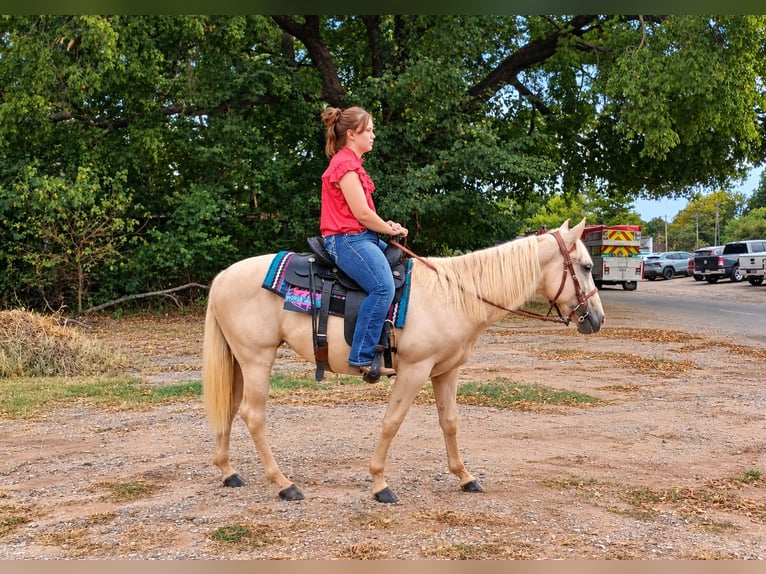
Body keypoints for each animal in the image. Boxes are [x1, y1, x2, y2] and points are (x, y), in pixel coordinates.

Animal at [202, 218, 604, 503]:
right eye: (585, 267)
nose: (597, 319)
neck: (454, 296)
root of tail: (222, 277)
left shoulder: (446, 371)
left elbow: (450, 423)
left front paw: (465, 477)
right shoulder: (414, 370)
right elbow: (391, 423)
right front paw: (380, 484)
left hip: (240, 361)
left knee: (230, 406)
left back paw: (228, 472)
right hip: (257, 358)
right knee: (253, 415)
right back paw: (284, 484)